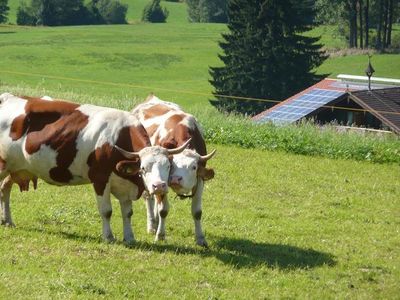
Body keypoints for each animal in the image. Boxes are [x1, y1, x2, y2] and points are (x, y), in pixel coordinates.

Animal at [0, 93, 189, 244]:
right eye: (143, 168)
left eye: (168, 166)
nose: (159, 186)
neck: (119, 137)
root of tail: (8, 96)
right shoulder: (100, 179)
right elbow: (106, 211)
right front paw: (109, 237)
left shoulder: (125, 185)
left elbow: (127, 213)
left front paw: (129, 238)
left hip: (15, 169)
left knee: (4, 189)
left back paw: (7, 220)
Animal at [131, 95, 216, 247]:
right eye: (171, 165)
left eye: (194, 167)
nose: (176, 179)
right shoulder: (160, 181)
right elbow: (163, 210)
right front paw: (160, 235)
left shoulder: (199, 180)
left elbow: (197, 212)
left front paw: (200, 238)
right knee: (149, 197)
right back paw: (152, 225)